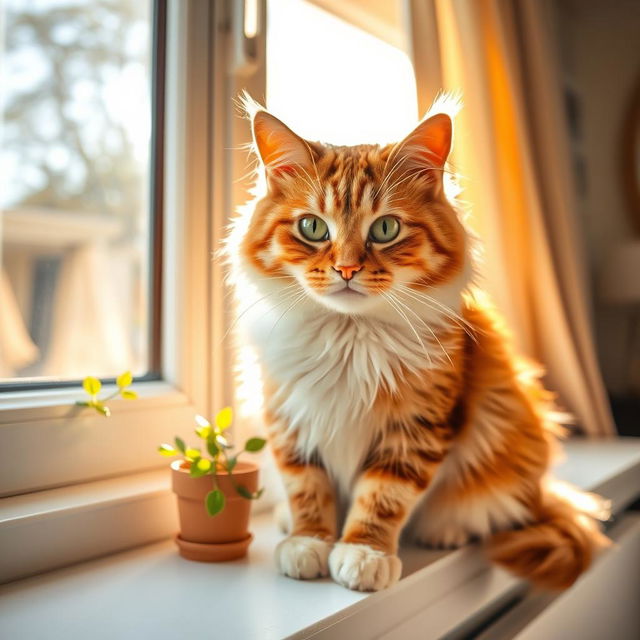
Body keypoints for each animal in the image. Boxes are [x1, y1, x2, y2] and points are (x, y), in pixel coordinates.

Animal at [225, 97, 608, 592]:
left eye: (386, 229)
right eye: (312, 227)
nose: (346, 269)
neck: (348, 337)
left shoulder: (417, 426)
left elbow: (384, 496)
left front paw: (364, 554)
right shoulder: (291, 417)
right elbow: (306, 487)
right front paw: (309, 542)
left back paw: (446, 531)